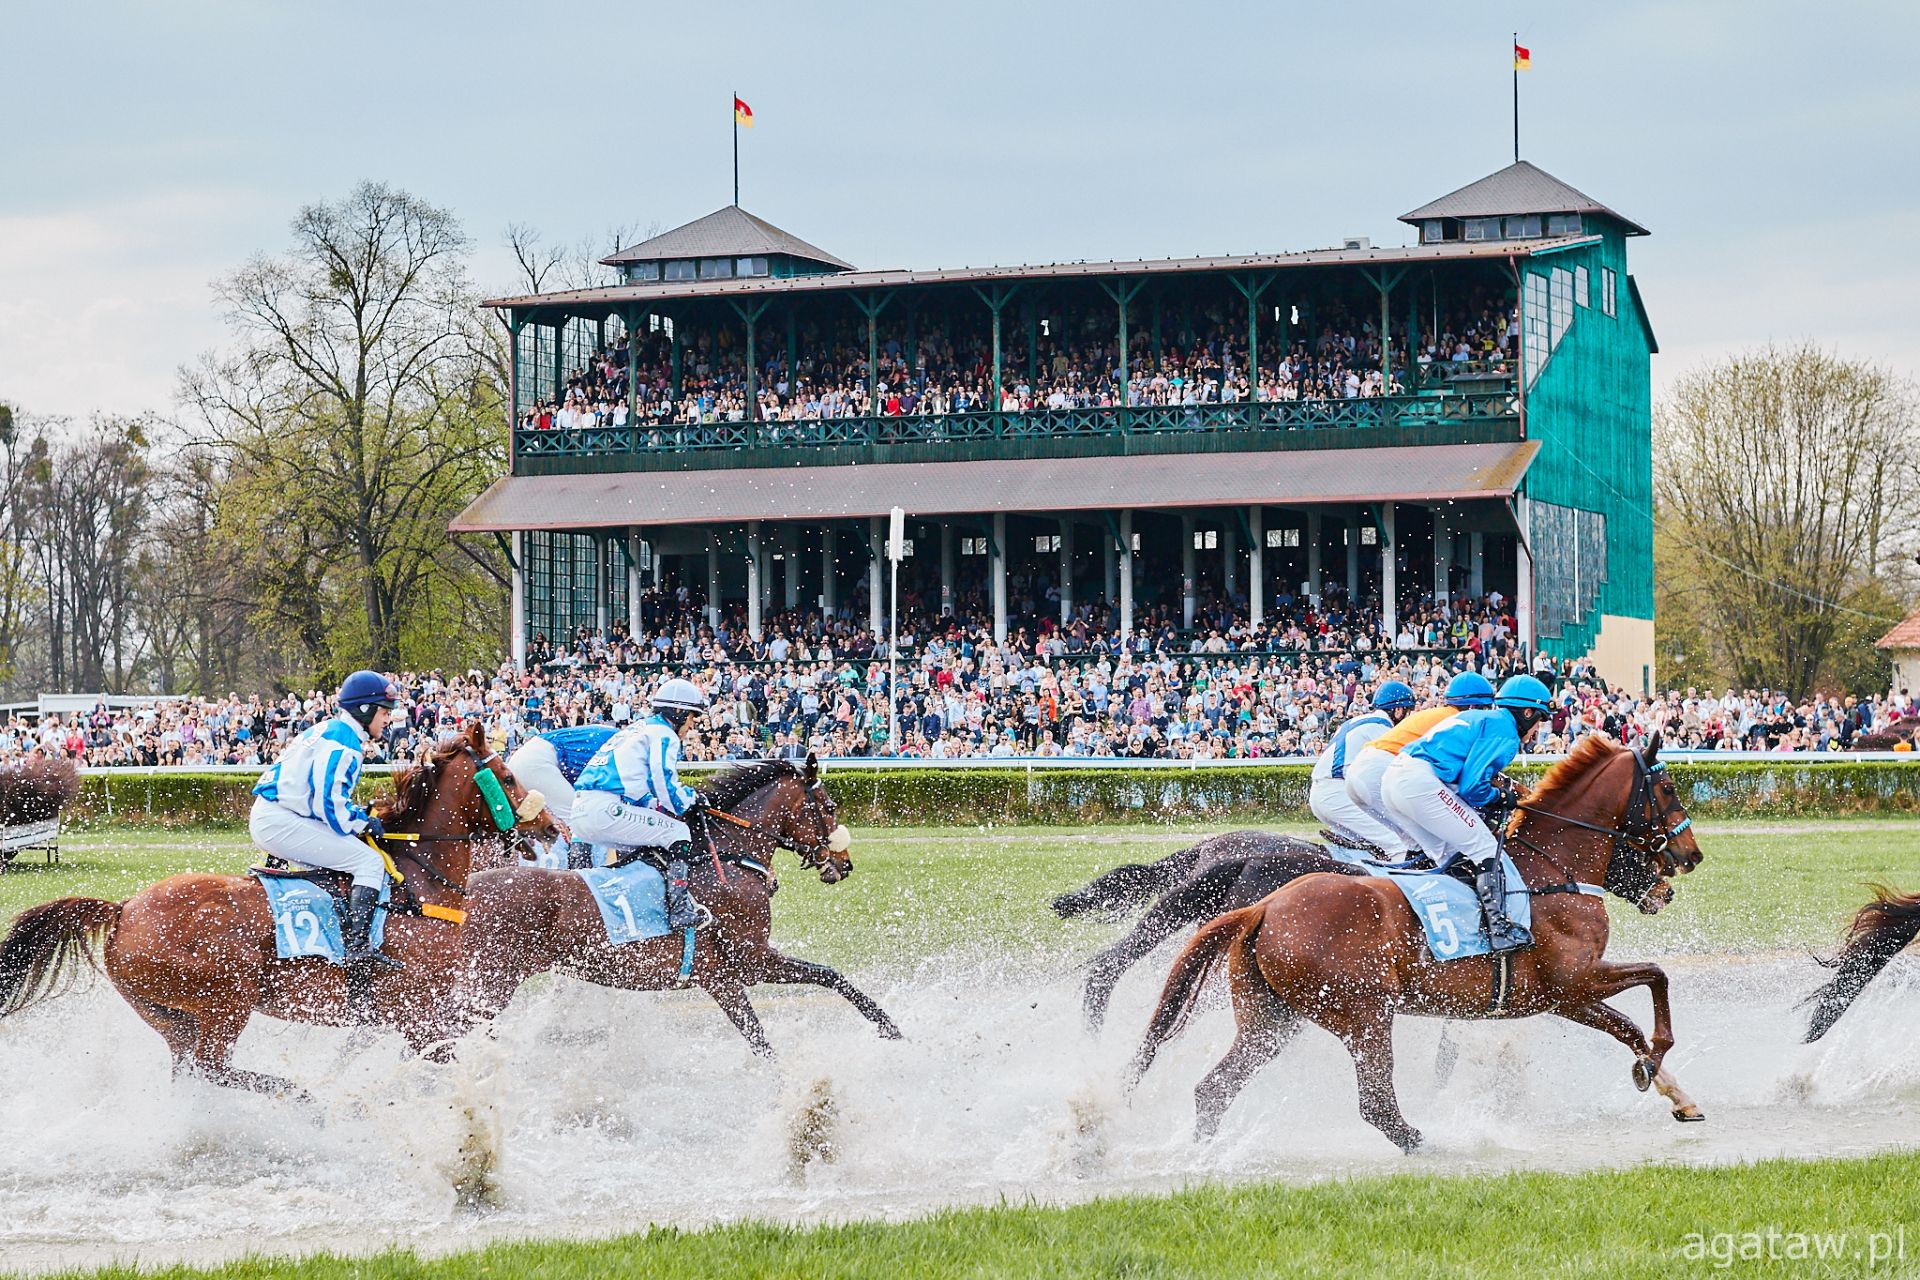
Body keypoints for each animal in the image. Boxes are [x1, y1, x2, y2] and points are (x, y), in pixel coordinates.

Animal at [0, 721, 556, 1105]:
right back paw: (301, 1096)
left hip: (169, 1015)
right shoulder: (417, 1013)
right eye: (507, 776)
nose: (552, 827)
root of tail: (122, 911)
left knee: (190, 1070)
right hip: (226, 999)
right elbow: (451, 1056)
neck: (414, 888)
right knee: (212, 1066)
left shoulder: (411, 1015)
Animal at [451, 756, 906, 1059]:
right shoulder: (753, 962)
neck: (727, 858)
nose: (844, 864)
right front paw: (890, 1029)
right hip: (489, 984)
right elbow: (831, 978)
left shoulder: (721, 979)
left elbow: (763, 1037)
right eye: (830, 807)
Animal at [1128, 736, 1704, 1159]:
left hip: (1272, 1019)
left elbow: (1627, 1027)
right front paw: (1655, 1066)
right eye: (1668, 787)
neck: (1549, 872)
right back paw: (1432, 1140)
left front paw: (1674, 1092)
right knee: (1375, 1102)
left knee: (1214, 1088)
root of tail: (1264, 908)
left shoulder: (1561, 996)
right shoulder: (1575, 980)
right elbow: (1657, 979)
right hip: (1363, 1014)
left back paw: (1205, 1153)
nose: (1688, 858)